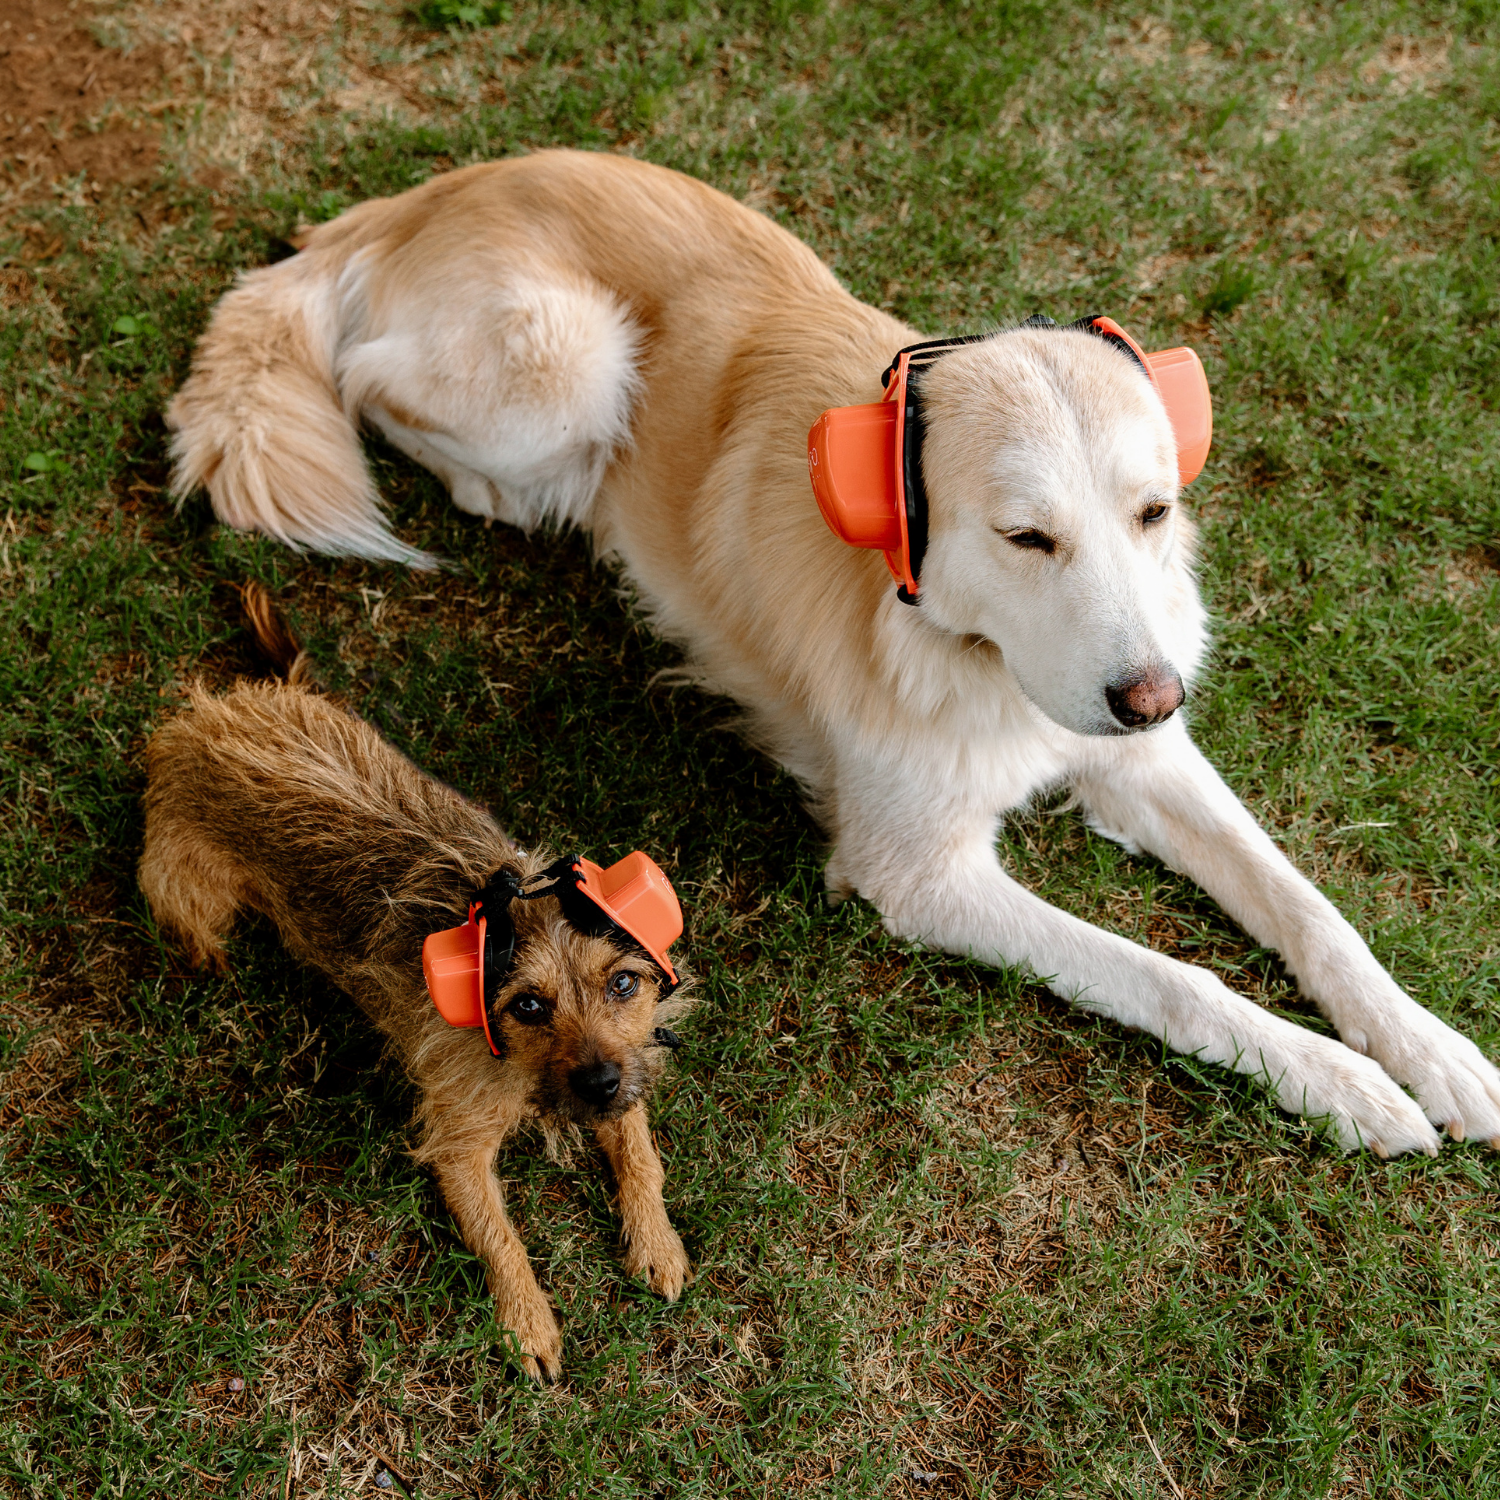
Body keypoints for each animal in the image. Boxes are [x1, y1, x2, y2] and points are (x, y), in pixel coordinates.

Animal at [135, 594, 690, 1380]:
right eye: (528, 1005)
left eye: (622, 984)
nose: (600, 1085)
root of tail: (206, 716)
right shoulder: (457, 1144)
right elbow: (498, 1235)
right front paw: (529, 1322)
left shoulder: (627, 1069)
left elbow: (643, 1154)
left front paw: (657, 1242)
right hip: (191, 891)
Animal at [167, 149, 1500, 1158]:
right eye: (1027, 536)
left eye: (1153, 512)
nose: (1151, 693)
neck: (970, 652)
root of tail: (422, 196)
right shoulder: (920, 875)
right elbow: (1174, 976)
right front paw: (1340, 1084)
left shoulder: (1147, 764)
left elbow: (1312, 913)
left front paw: (1432, 1054)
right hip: (572, 367)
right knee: (368, 378)